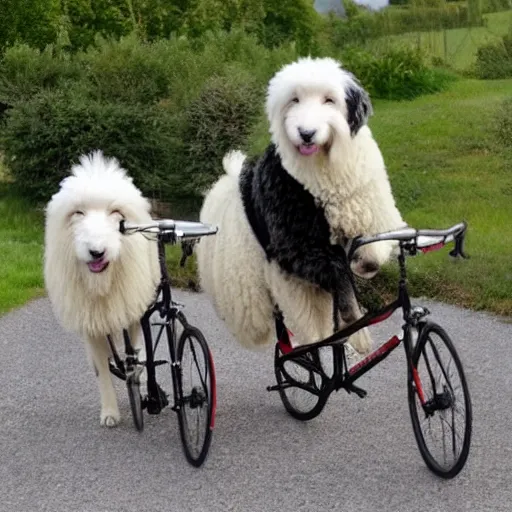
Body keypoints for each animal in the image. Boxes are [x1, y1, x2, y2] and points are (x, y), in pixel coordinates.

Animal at [45, 152, 159, 428]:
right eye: (78, 213)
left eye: (116, 213)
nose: (96, 251)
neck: (102, 284)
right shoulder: (93, 327)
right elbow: (103, 372)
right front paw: (109, 414)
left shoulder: (132, 317)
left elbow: (134, 357)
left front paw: (138, 386)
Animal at [196, 56, 404, 352]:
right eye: (293, 100)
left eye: (329, 100)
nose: (306, 133)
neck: (321, 173)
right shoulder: (297, 249)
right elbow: (341, 274)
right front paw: (358, 332)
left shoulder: (376, 216)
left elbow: (371, 253)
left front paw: (364, 264)